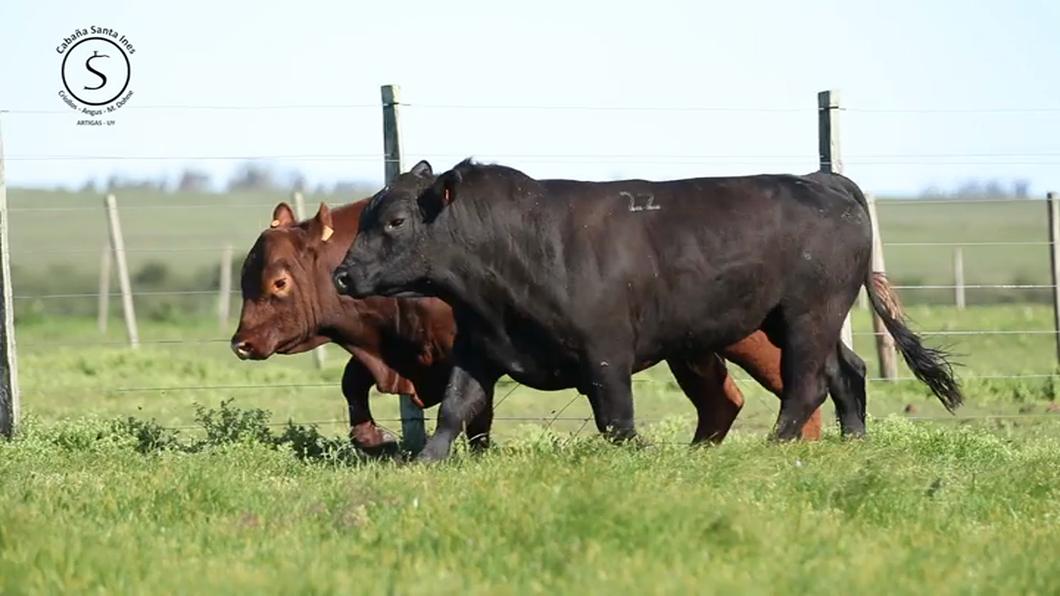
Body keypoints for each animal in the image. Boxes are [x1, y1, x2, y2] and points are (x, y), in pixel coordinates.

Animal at [227, 197, 818, 451]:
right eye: (246, 276)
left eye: (278, 283)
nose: (242, 343)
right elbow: (353, 382)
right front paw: (371, 438)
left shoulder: (467, 349)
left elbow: (477, 413)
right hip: (692, 349)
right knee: (722, 401)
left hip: (755, 335)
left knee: (793, 379)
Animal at [334, 158, 966, 460]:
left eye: (395, 220)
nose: (342, 274)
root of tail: (822, 179)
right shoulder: (480, 347)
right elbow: (454, 409)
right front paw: (427, 461)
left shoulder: (606, 353)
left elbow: (616, 421)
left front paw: (644, 452)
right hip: (801, 319)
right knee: (847, 372)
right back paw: (853, 441)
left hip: (808, 314)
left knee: (806, 384)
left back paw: (776, 445)